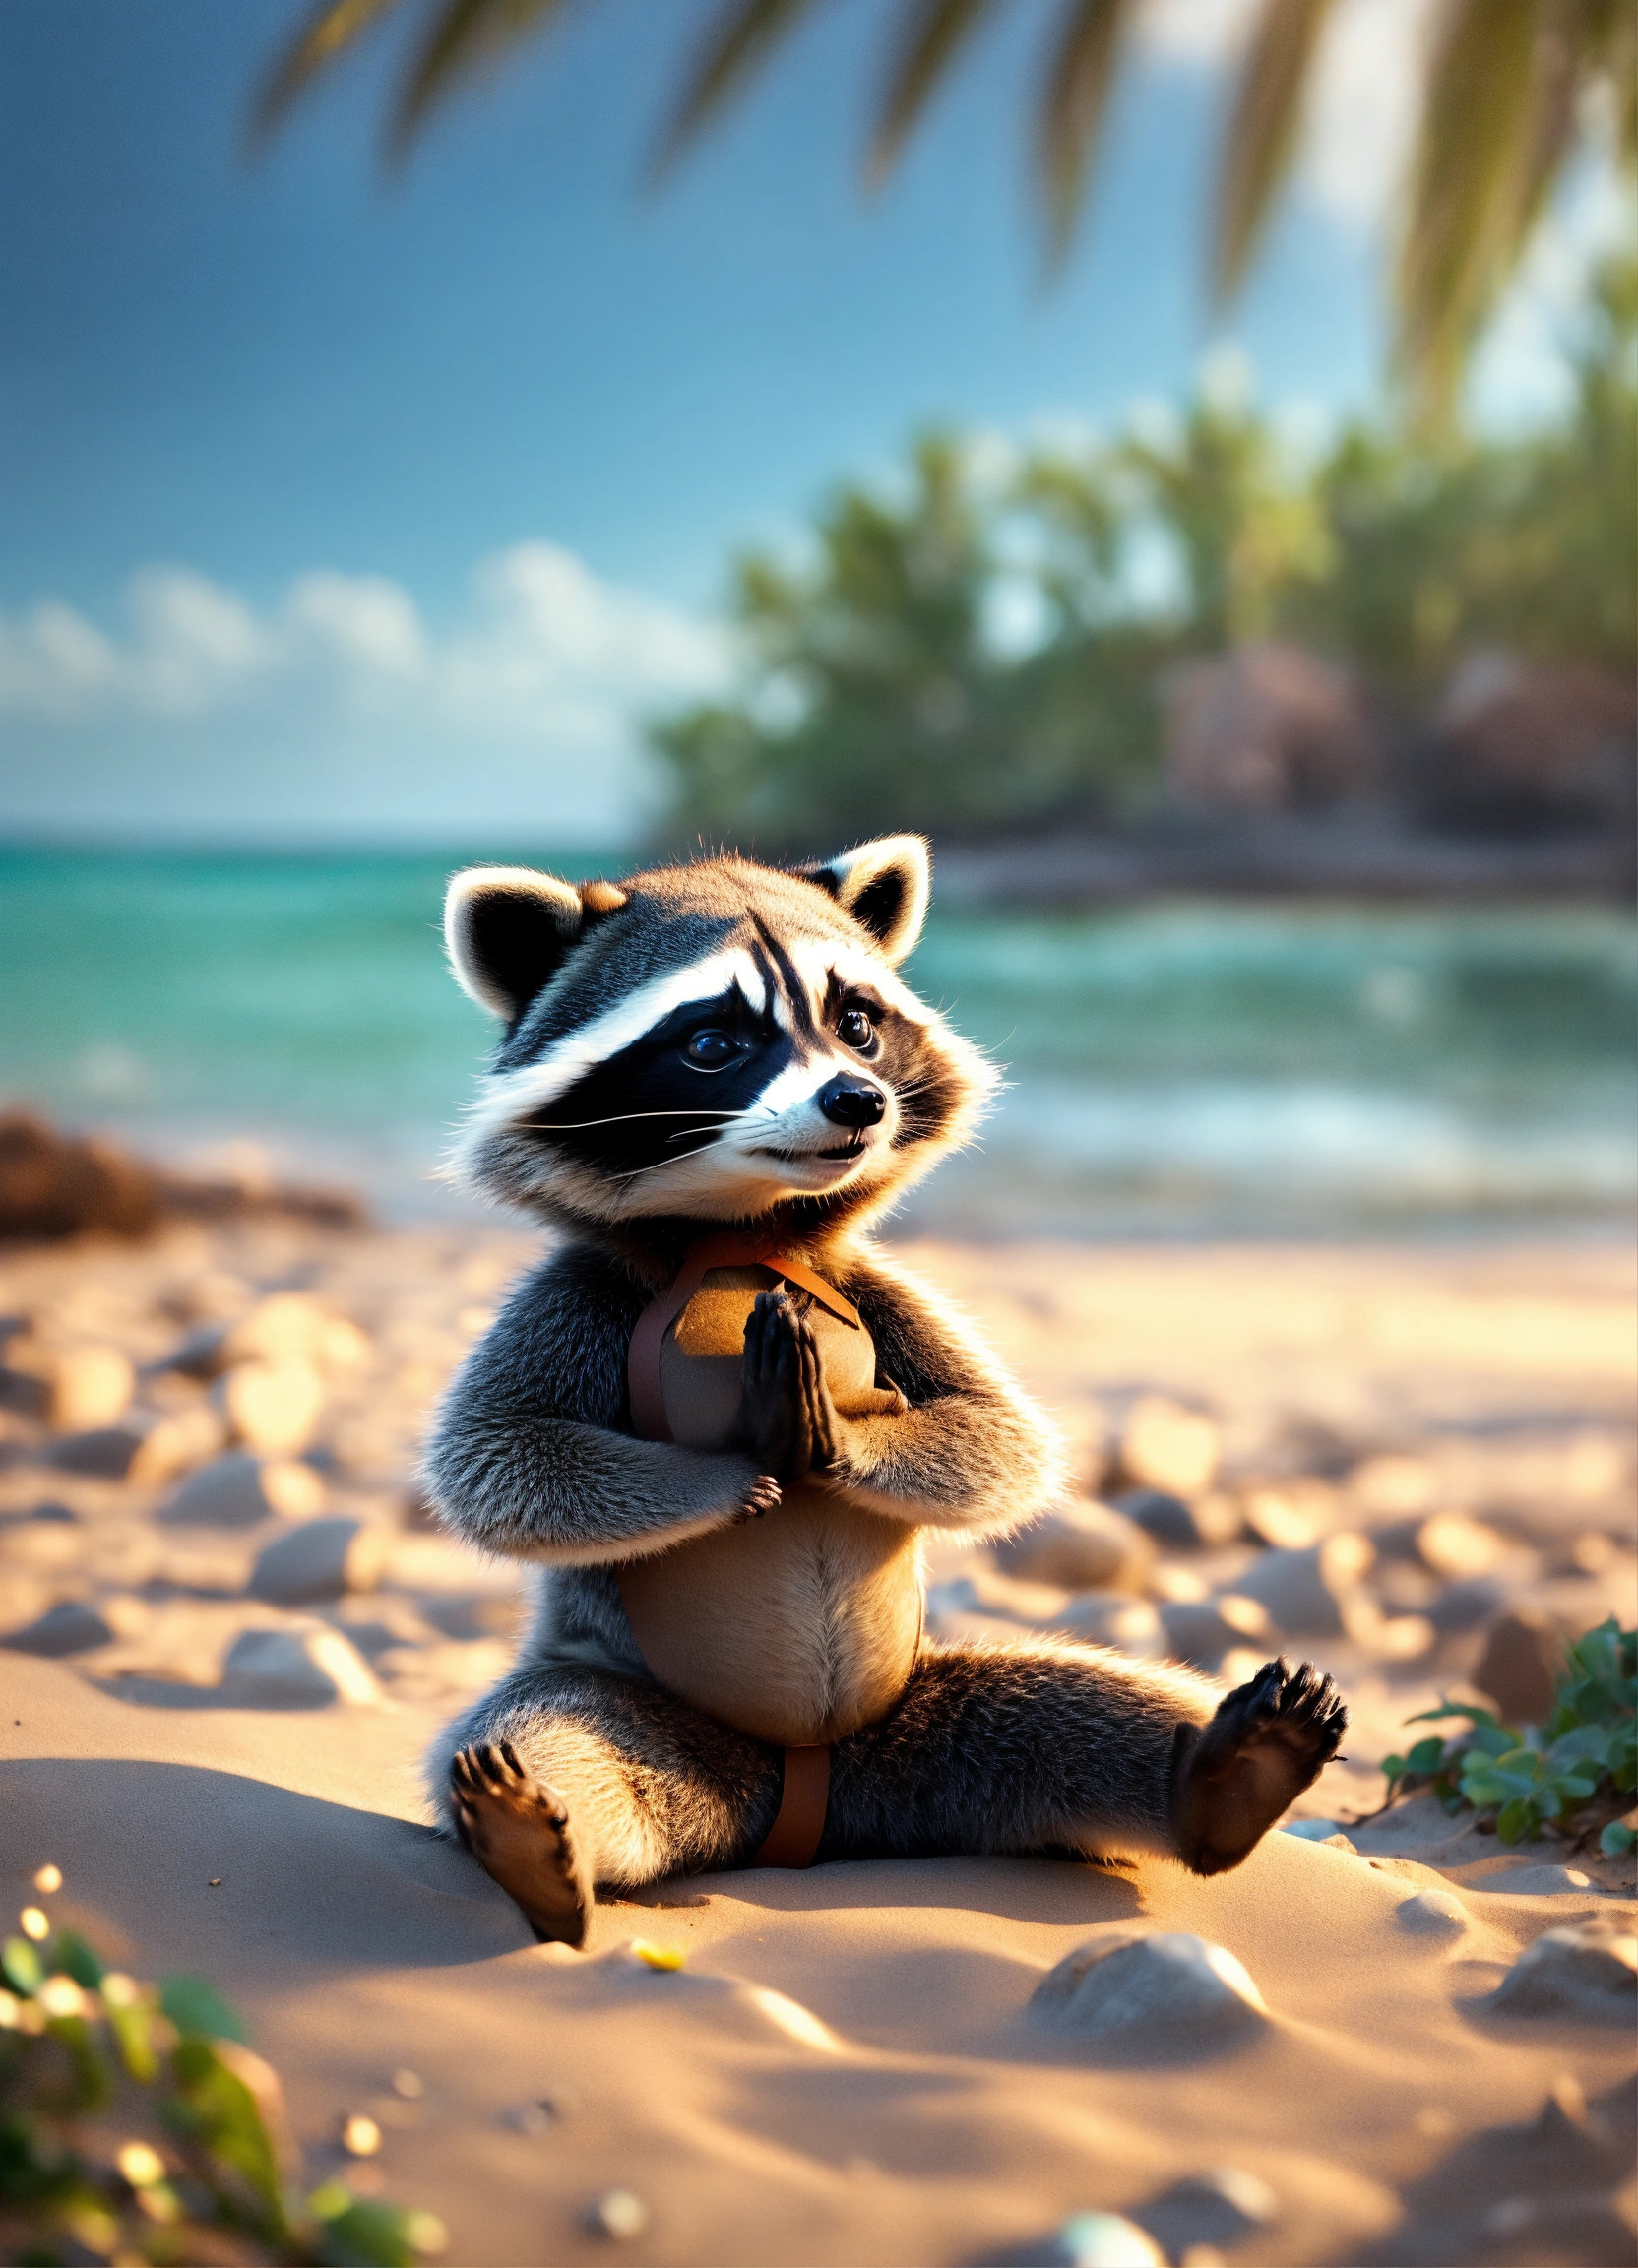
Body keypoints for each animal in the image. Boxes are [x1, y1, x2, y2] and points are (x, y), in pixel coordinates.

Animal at [423, 835, 1345, 1946]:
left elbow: (999, 1434)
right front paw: (733, 1461)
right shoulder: (586, 1293)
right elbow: (499, 1457)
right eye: (712, 1043)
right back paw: (533, 1837)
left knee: (1078, 1703)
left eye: (855, 1023)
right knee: (557, 1734)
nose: (856, 1101)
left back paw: (1218, 1778)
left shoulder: (872, 1285)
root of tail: (809, 1823)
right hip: (635, 1704)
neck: (745, 1230)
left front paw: (830, 1440)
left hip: (929, 1718)